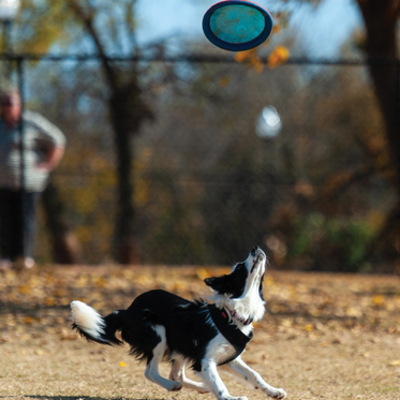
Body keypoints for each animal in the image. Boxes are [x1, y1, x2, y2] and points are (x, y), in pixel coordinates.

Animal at [70, 247, 286, 400]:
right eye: (240, 267)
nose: (255, 247)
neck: (231, 315)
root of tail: (126, 310)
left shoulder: (228, 357)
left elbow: (254, 375)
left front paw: (273, 391)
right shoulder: (205, 359)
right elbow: (219, 383)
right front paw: (230, 398)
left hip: (181, 344)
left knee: (177, 374)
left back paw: (200, 387)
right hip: (159, 334)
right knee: (151, 372)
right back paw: (173, 386)